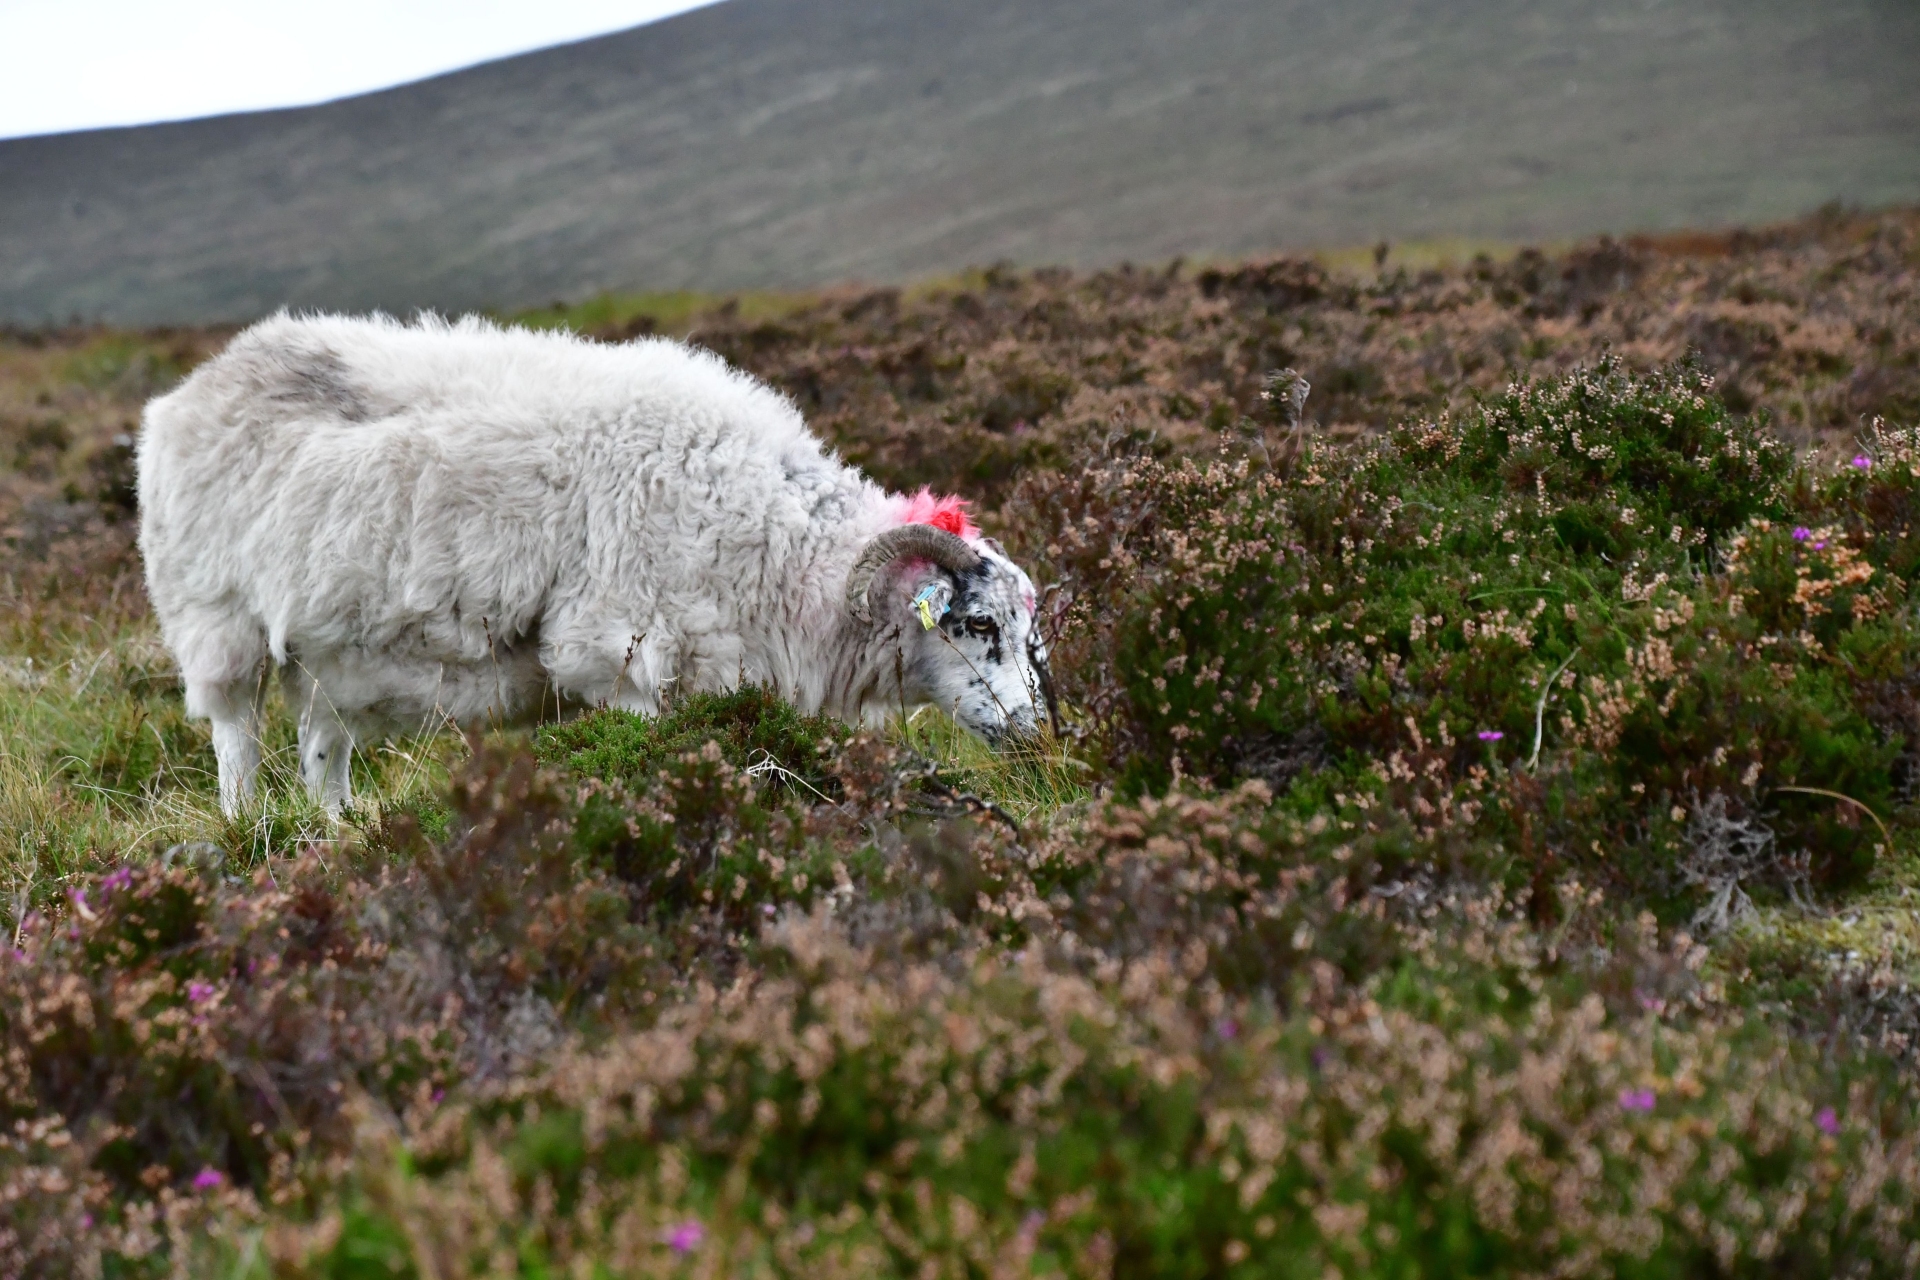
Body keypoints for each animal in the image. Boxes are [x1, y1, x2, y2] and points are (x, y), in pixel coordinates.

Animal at [136, 312, 1056, 816]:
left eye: (1031, 629)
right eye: (975, 624)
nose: (1036, 736)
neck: (782, 545)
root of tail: (193, 388)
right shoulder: (614, 655)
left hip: (333, 656)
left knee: (322, 752)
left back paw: (339, 834)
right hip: (219, 620)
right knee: (235, 740)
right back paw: (250, 832)